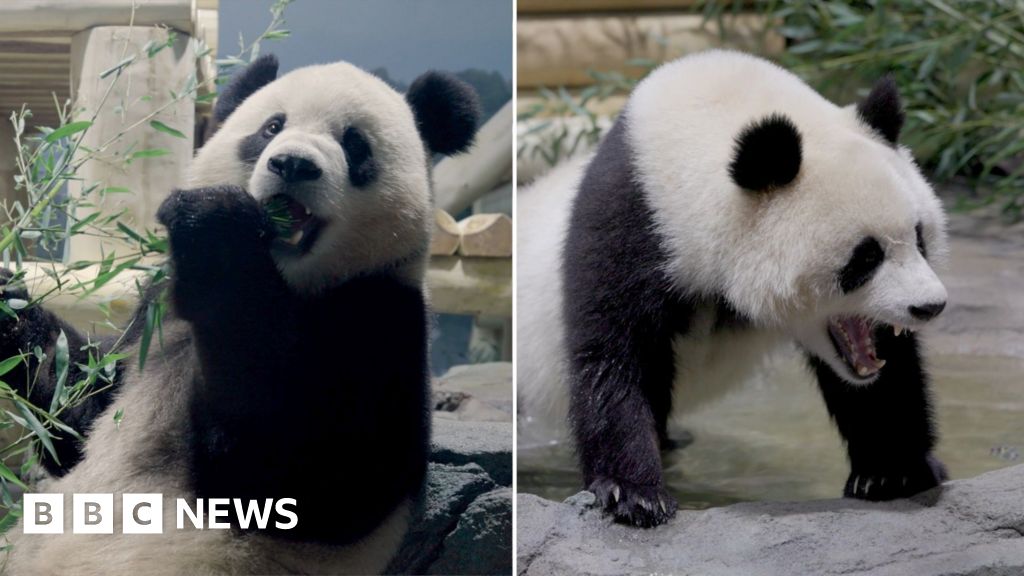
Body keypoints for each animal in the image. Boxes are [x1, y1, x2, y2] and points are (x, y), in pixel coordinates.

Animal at [1, 54, 479, 573]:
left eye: (355, 144)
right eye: (272, 127)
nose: (293, 163)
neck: (287, 280)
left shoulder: (380, 316)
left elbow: (312, 478)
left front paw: (217, 232)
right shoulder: (154, 317)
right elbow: (77, 413)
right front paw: (11, 308)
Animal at [520, 51, 950, 528]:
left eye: (920, 237)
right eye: (866, 256)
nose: (929, 306)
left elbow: (885, 374)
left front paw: (893, 472)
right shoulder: (632, 220)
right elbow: (613, 352)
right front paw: (633, 495)